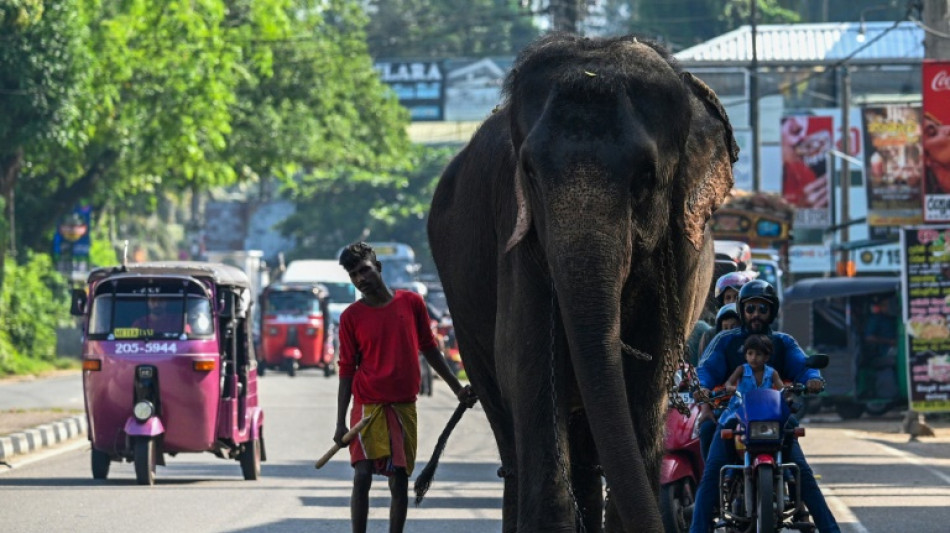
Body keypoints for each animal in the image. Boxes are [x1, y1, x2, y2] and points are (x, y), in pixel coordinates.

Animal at [428, 34, 740, 532]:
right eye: (529, 171)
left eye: (646, 174)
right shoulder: (517, 240)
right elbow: (527, 364)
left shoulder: (679, 257)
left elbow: (649, 376)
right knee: (508, 430)